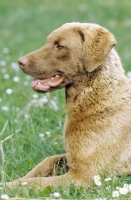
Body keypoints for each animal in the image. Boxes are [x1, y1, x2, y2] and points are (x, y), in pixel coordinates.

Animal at [6, 22, 131, 190]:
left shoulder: (82, 176)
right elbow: (46, 162)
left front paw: (7, 187)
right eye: (48, 41)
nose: (20, 61)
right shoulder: (70, 158)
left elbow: (34, 183)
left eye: (60, 46)